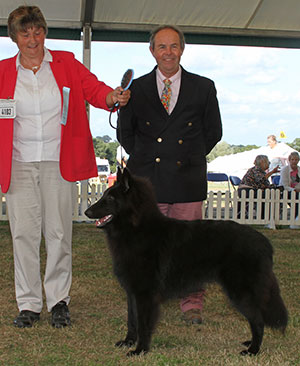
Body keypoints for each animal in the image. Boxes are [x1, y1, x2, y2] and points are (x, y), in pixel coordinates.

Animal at [84, 169, 288, 358]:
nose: (86, 212)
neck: (137, 228)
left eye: (111, 198)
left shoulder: (145, 294)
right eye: (104, 194)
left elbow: (142, 324)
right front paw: (128, 342)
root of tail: (264, 242)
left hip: (240, 292)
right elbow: (131, 320)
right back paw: (250, 343)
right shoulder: (132, 293)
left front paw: (140, 349)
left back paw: (253, 350)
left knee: (258, 320)